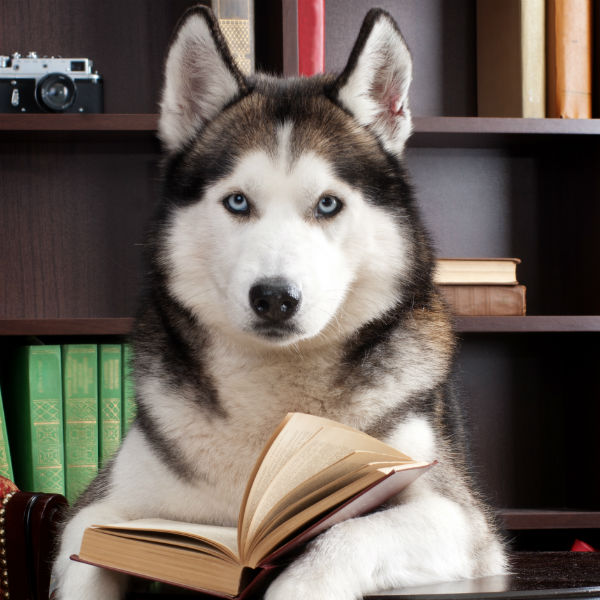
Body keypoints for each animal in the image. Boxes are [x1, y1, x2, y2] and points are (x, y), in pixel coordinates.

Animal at [55, 5, 506, 600]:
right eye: (237, 201)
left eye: (329, 204)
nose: (274, 297)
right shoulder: (101, 509)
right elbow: (85, 547)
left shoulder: (462, 522)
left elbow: (348, 533)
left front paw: (301, 583)